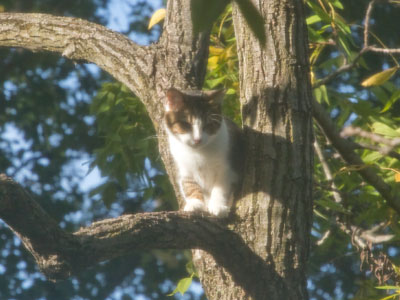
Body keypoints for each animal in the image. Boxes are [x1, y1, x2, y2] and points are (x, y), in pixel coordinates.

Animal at [163, 88, 244, 217]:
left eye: (208, 125)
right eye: (186, 124)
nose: (197, 139)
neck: (198, 153)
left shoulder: (228, 167)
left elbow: (221, 187)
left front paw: (217, 205)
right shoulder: (184, 168)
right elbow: (189, 184)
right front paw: (195, 203)